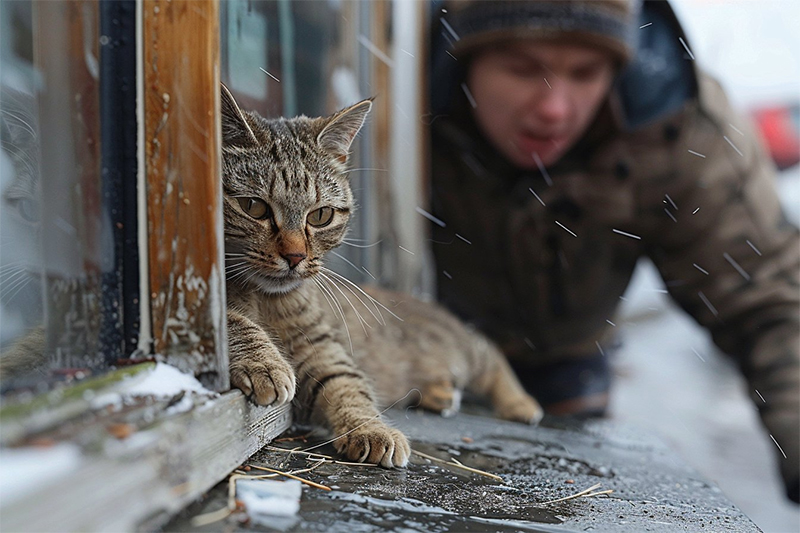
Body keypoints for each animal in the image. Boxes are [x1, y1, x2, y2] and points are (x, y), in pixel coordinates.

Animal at [222, 84, 540, 466]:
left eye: (321, 216)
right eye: (254, 207)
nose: (295, 256)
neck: (264, 298)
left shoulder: (322, 348)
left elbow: (347, 385)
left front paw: (372, 429)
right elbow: (232, 321)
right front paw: (264, 362)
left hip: (462, 347)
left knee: (491, 352)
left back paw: (520, 403)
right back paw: (441, 394)